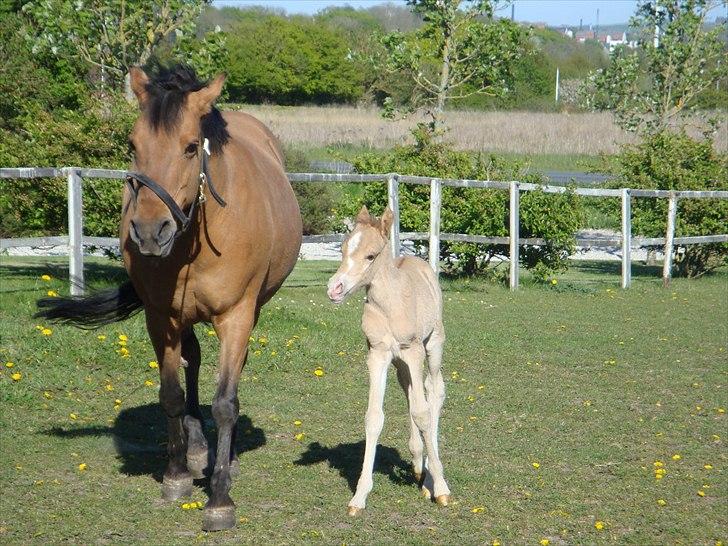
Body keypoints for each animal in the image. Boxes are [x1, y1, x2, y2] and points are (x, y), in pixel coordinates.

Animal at [35, 62, 302, 528]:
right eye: (132, 144)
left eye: (192, 147)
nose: (148, 231)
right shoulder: (161, 316)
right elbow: (172, 395)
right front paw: (177, 475)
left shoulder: (236, 316)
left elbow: (225, 403)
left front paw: (220, 499)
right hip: (184, 317)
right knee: (192, 359)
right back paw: (196, 450)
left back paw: (227, 457)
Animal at [326, 205, 450, 516]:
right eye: (343, 250)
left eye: (370, 256)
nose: (335, 289)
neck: (390, 303)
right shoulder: (378, 354)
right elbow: (374, 417)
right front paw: (359, 497)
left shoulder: (413, 350)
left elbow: (422, 413)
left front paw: (441, 488)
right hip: (399, 364)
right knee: (411, 391)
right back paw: (418, 464)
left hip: (433, 344)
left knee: (434, 391)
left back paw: (430, 477)